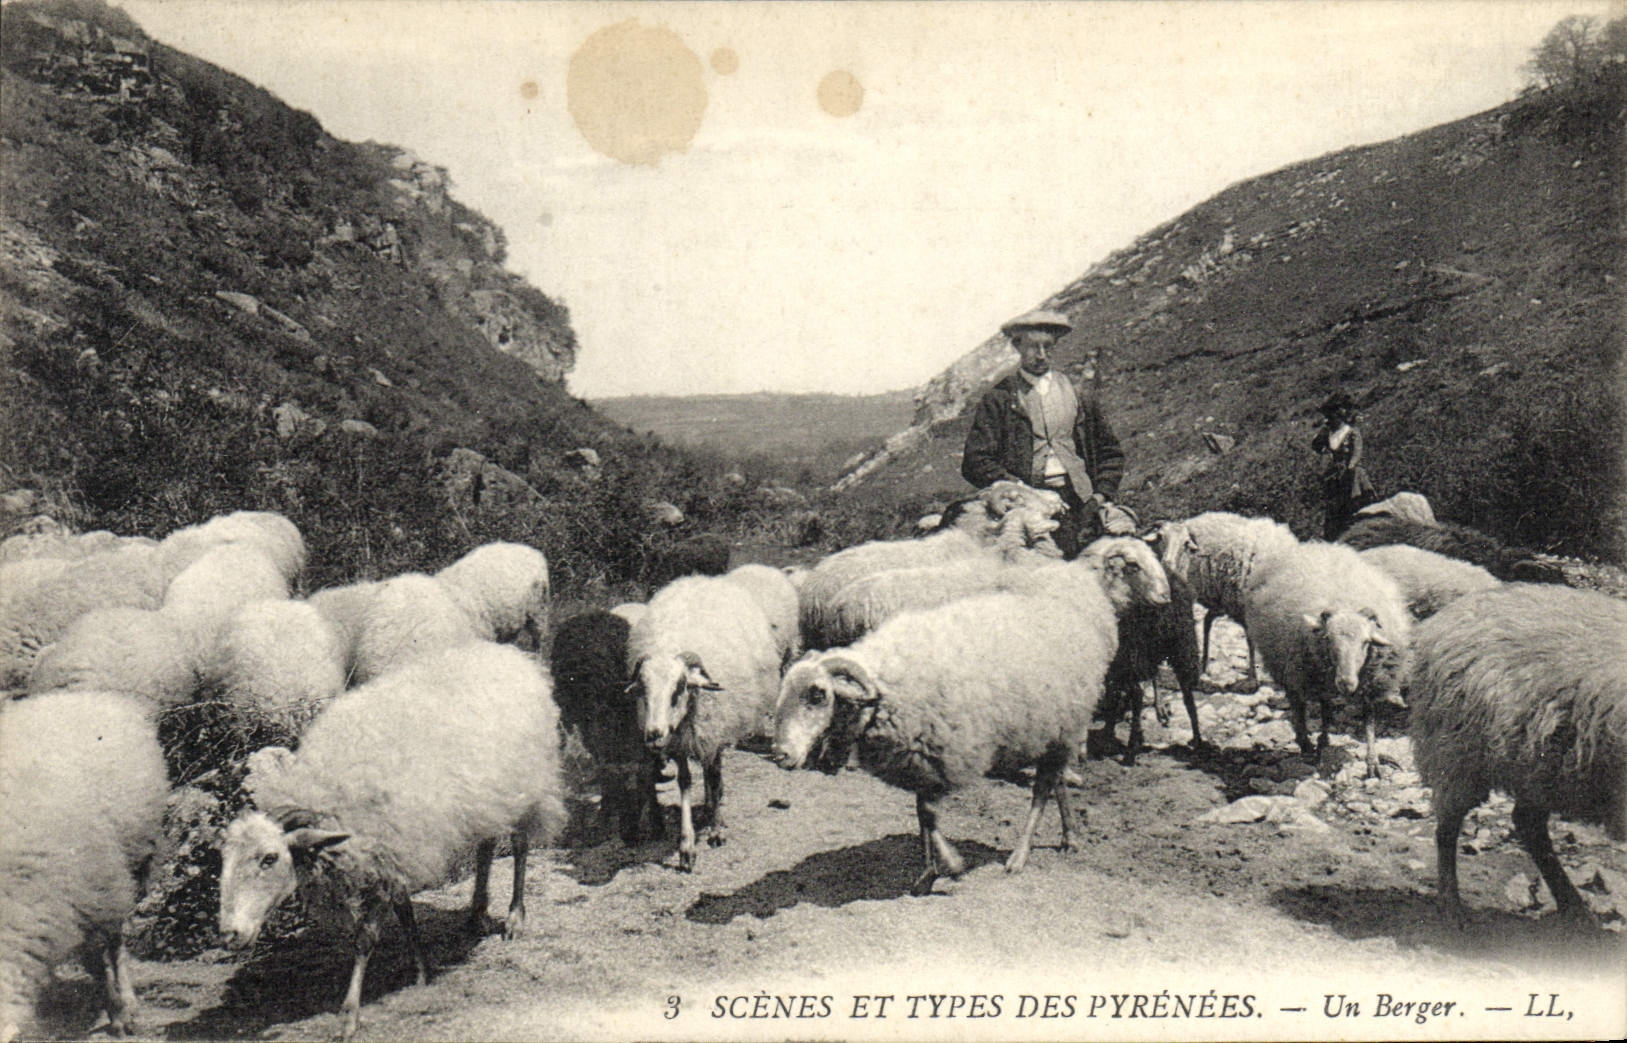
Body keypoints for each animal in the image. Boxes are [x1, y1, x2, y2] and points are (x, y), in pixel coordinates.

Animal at [217, 642, 566, 1042]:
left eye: (269, 859)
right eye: (224, 861)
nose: (229, 934)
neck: (330, 792)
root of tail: (513, 656)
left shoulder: (389, 849)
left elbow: (366, 938)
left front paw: (349, 1015)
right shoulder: (392, 850)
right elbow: (405, 912)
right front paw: (421, 970)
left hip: (528, 785)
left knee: (521, 847)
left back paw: (514, 918)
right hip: (488, 795)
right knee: (486, 847)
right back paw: (476, 911)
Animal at [629, 575, 783, 871]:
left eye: (679, 687)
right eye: (642, 688)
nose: (653, 735)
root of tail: (702, 579)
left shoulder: (711, 734)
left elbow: (714, 776)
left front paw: (717, 829)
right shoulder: (679, 742)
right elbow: (685, 782)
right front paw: (687, 846)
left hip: (719, 731)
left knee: (715, 773)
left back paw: (714, 809)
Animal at [771, 535, 1168, 895]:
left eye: (817, 694)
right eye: (1134, 565)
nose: (781, 754)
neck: (887, 681)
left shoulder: (943, 751)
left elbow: (929, 814)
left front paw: (949, 865)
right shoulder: (920, 758)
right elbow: (922, 815)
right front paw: (930, 870)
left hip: (1062, 724)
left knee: (1042, 788)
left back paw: (1020, 855)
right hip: (1050, 725)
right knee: (1053, 781)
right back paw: (1068, 833)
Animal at [1244, 542, 1410, 778]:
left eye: (1366, 642)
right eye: (1328, 639)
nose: (1345, 683)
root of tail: (1313, 546)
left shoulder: (1370, 682)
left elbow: (1368, 720)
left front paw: (1373, 762)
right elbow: (1321, 710)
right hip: (1288, 667)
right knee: (1298, 704)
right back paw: (1306, 743)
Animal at [1408, 584, 1626, 925]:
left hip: (1536, 767)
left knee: (1527, 823)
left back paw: (1574, 908)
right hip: (1457, 753)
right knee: (1447, 828)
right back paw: (1452, 908)